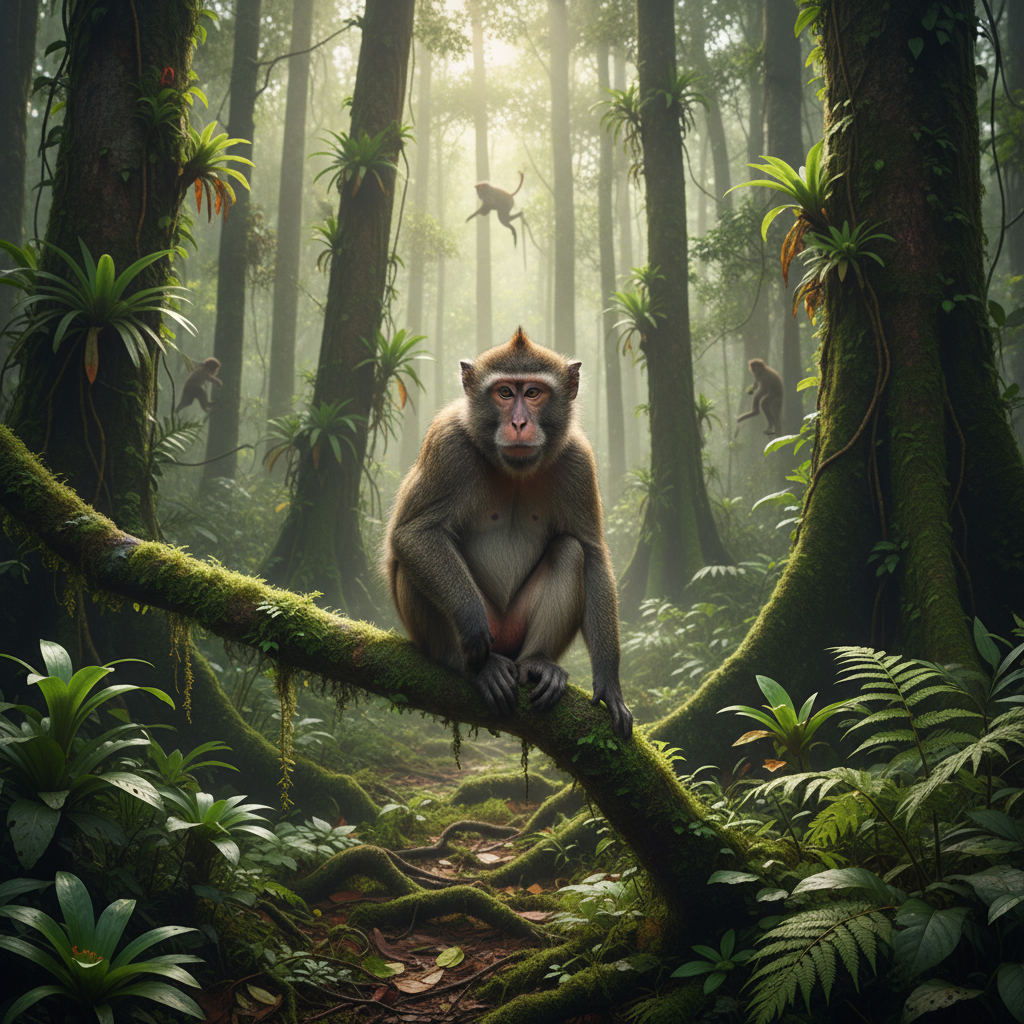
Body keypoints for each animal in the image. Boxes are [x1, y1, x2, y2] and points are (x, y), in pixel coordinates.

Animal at [384, 327, 633, 740]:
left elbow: (593, 555)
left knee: (570, 551)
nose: (518, 423)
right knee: (412, 562)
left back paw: (538, 662)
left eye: (532, 392)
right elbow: (414, 534)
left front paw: (610, 683)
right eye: (504, 392)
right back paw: (466, 664)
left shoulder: (578, 461)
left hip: (515, 630)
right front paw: (470, 622)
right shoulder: (447, 445)